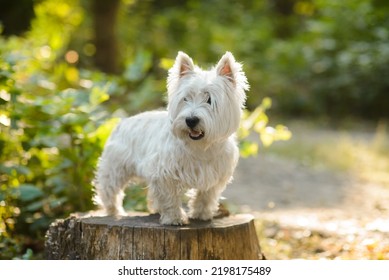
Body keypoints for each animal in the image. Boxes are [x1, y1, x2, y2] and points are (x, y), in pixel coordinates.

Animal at [92, 50, 247, 225]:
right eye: (185, 98)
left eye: (209, 100)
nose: (191, 120)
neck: (201, 148)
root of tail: (121, 122)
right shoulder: (163, 173)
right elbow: (169, 197)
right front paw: (174, 218)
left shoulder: (215, 175)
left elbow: (206, 196)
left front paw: (202, 214)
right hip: (115, 167)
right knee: (109, 189)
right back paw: (114, 211)